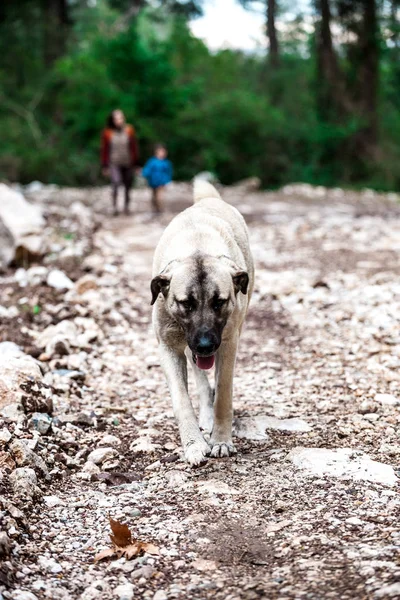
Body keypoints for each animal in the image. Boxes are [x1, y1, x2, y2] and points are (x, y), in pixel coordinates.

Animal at [150, 180, 253, 466]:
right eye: (186, 303)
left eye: (219, 302)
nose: (206, 345)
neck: (197, 248)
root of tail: (209, 200)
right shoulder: (168, 347)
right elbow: (182, 401)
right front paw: (194, 444)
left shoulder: (228, 343)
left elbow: (224, 393)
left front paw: (220, 440)